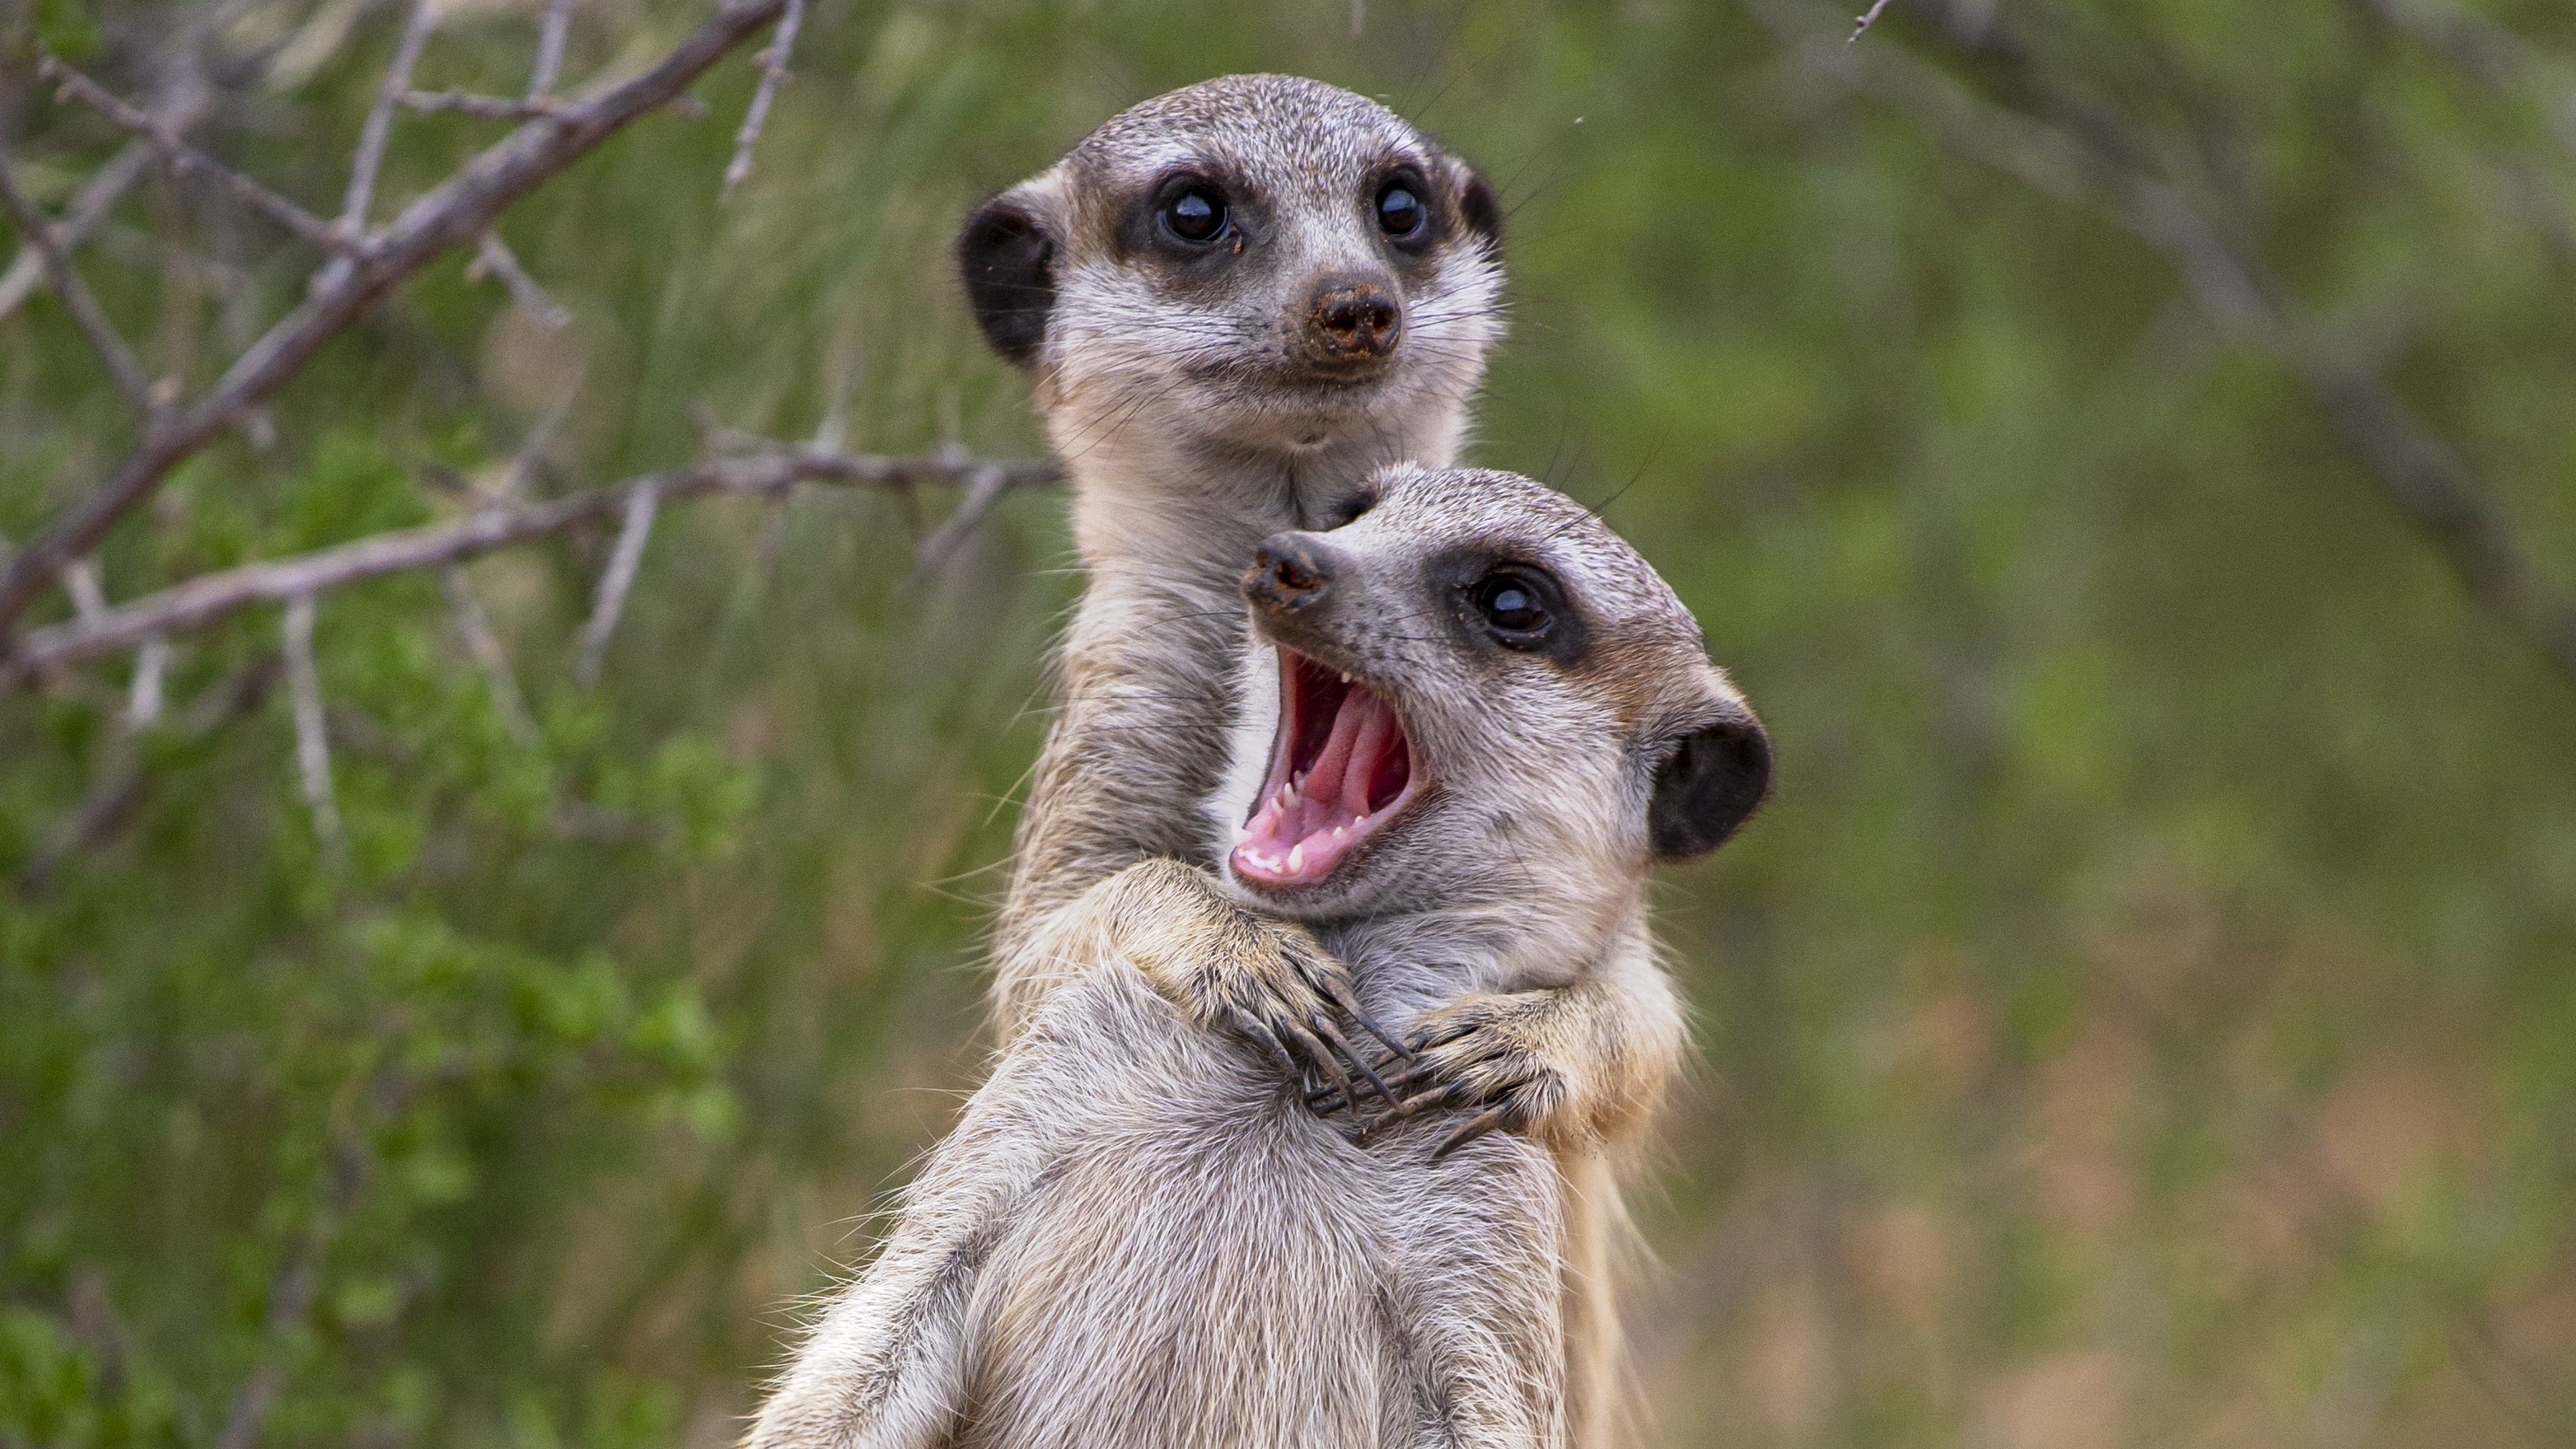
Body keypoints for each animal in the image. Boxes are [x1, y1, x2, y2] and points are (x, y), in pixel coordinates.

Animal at [745, 463, 1770, 1449]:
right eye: (1352, 509)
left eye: (1513, 601)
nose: (1288, 560)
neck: (1299, 1077)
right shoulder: (1059, 1072)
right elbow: (881, 1326)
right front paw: (1227, 943)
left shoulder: (1491, 1189)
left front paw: (1533, 1035)